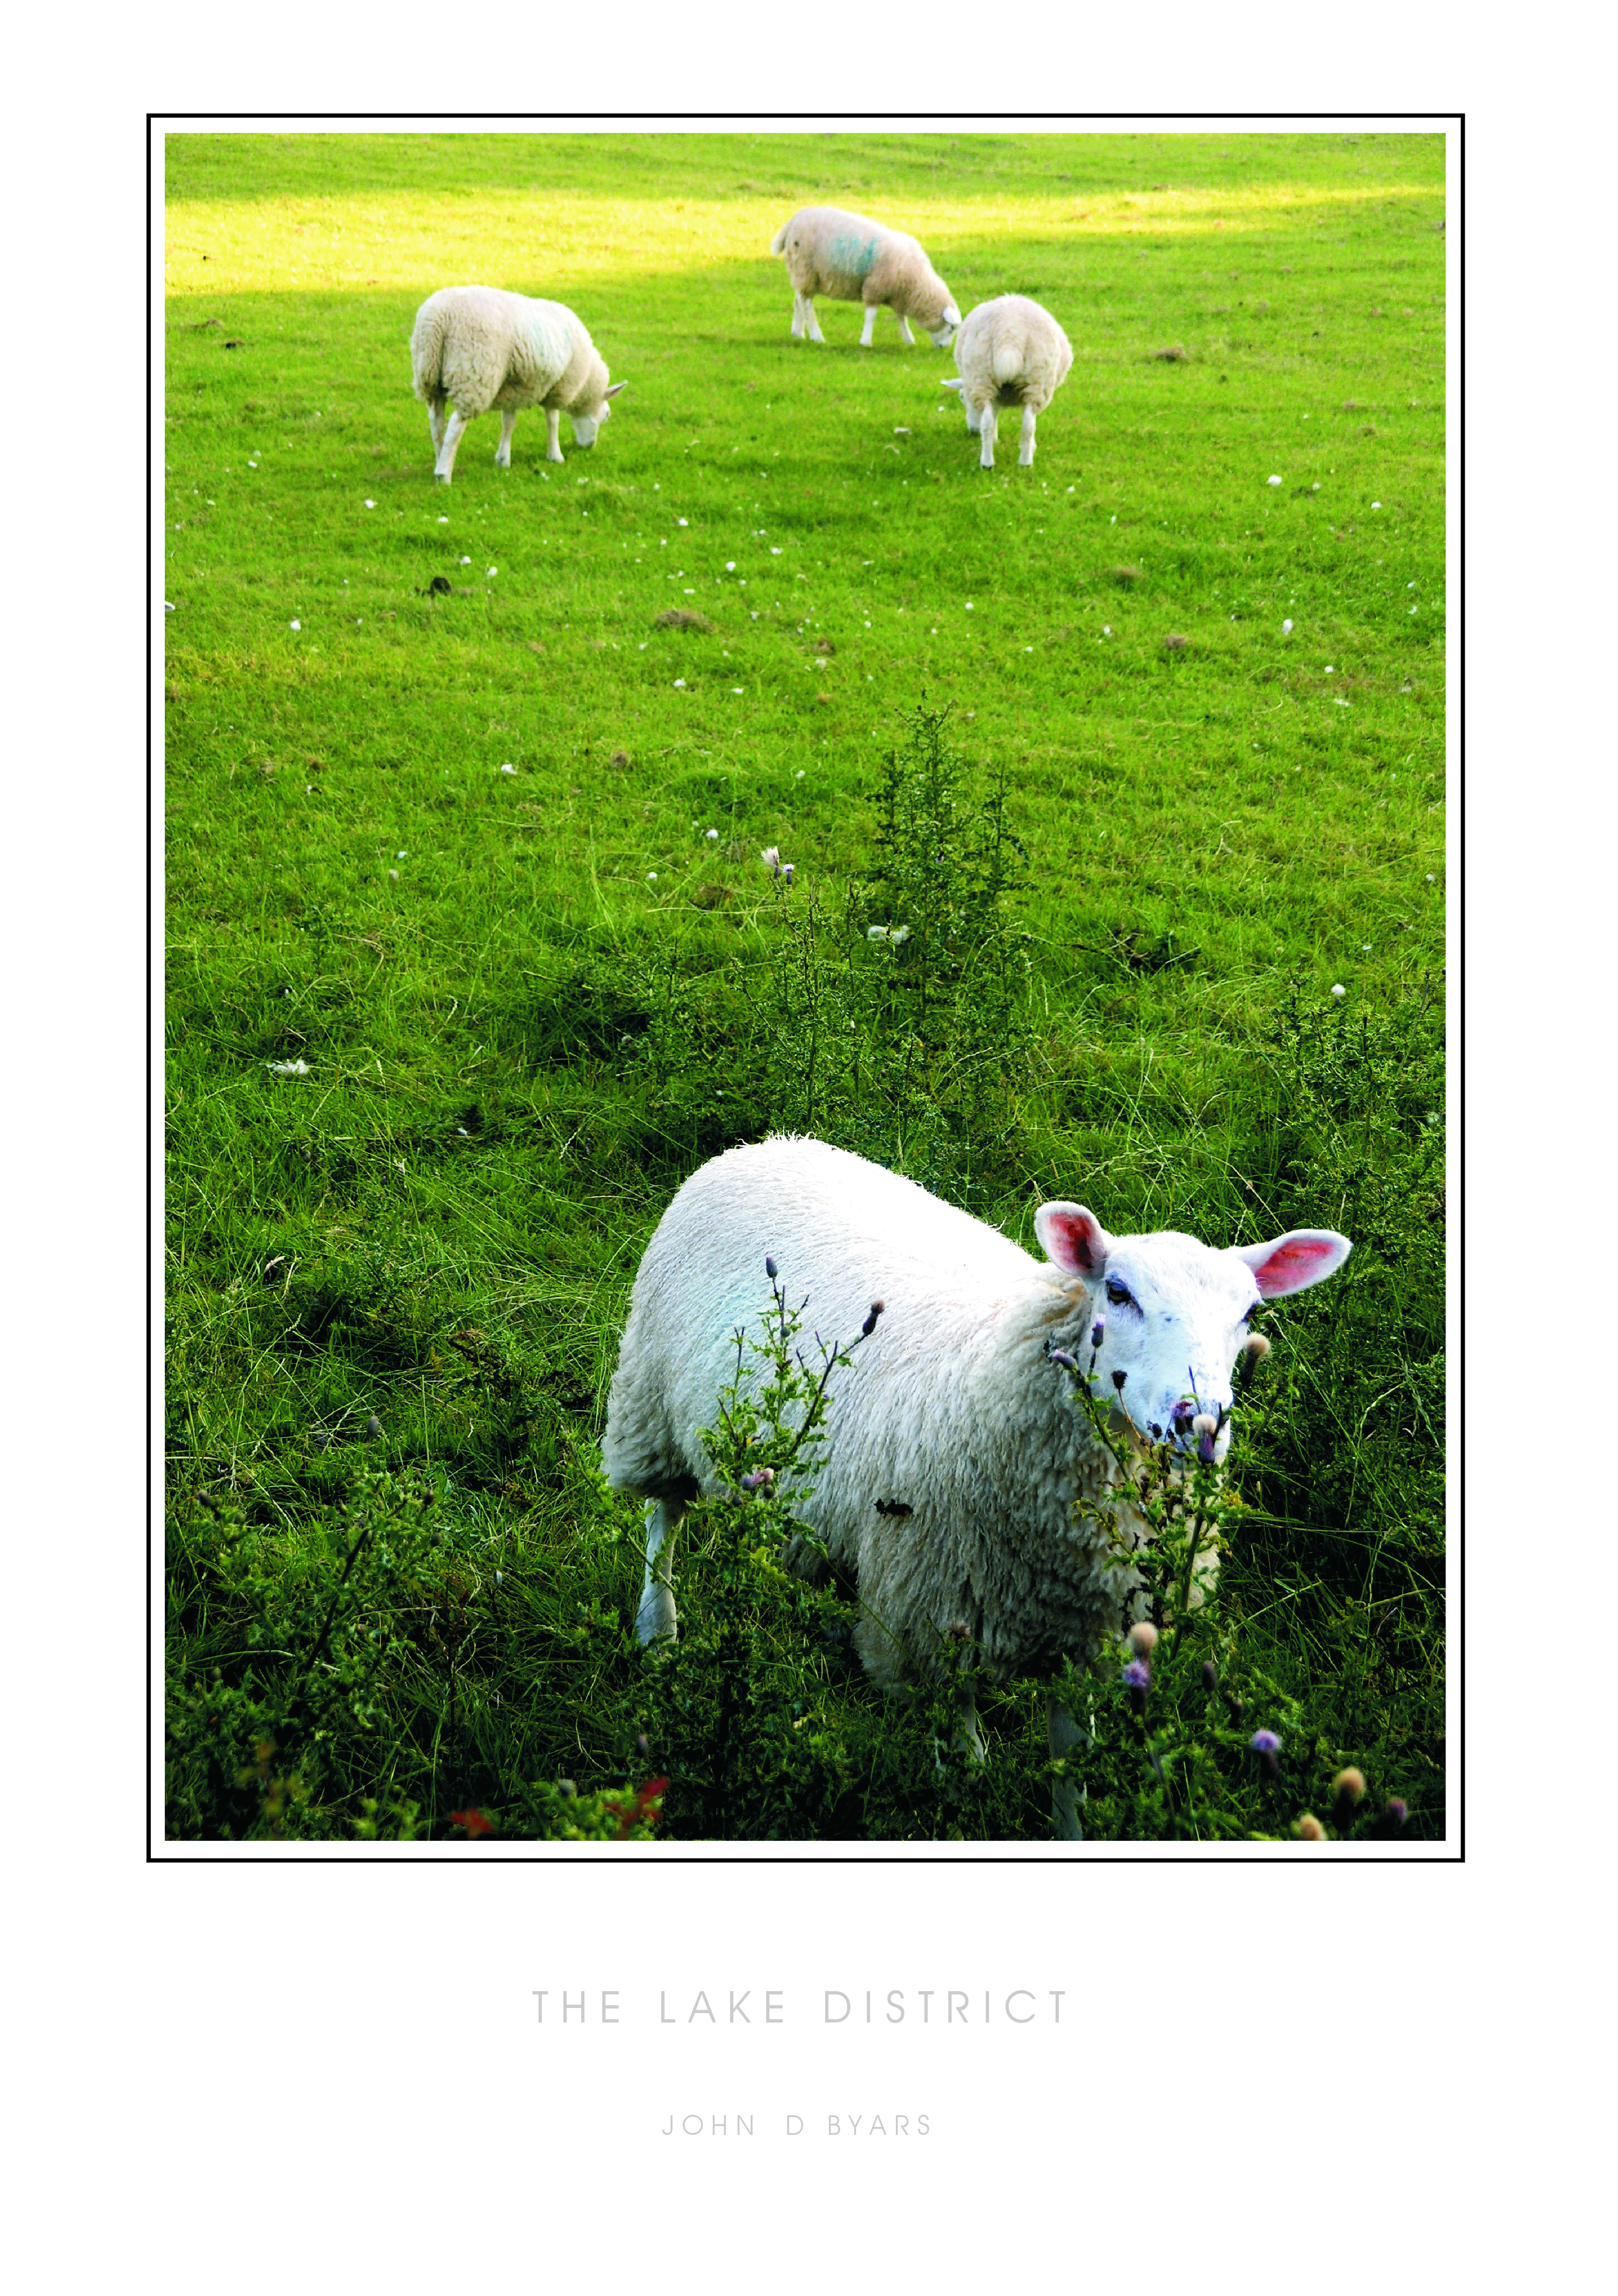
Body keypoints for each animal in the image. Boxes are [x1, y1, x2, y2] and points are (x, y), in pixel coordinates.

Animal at [409, 286, 624, 484]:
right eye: (607, 415)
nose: (589, 447)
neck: (585, 382)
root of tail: (439, 317)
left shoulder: (512, 389)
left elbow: (508, 423)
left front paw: (503, 459)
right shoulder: (558, 387)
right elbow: (553, 421)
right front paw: (556, 456)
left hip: (429, 374)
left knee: (436, 421)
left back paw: (440, 458)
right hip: (473, 373)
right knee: (456, 424)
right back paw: (444, 474)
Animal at [601, 1135, 1351, 1840]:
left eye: (1249, 1312)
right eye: (1117, 1292)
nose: (1198, 1421)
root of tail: (766, 1145)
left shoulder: (1084, 1633)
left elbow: (1070, 1764)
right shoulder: (927, 1611)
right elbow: (963, 1757)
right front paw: (963, 1800)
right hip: (651, 1401)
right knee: (663, 1517)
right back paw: (657, 1630)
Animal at [769, 207, 961, 349]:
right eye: (952, 328)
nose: (944, 348)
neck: (916, 282)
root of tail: (792, 222)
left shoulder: (897, 294)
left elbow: (901, 318)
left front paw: (908, 339)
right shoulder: (875, 287)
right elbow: (871, 316)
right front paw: (866, 341)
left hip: (803, 274)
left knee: (799, 300)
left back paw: (798, 333)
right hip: (806, 269)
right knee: (807, 304)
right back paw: (817, 336)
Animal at [941, 293, 1073, 469]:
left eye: (962, 398)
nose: (973, 431)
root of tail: (1009, 331)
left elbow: (994, 416)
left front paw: (997, 439)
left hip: (983, 377)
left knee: (993, 424)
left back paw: (993, 463)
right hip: (1037, 381)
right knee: (1028, 424)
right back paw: (1020, 461)